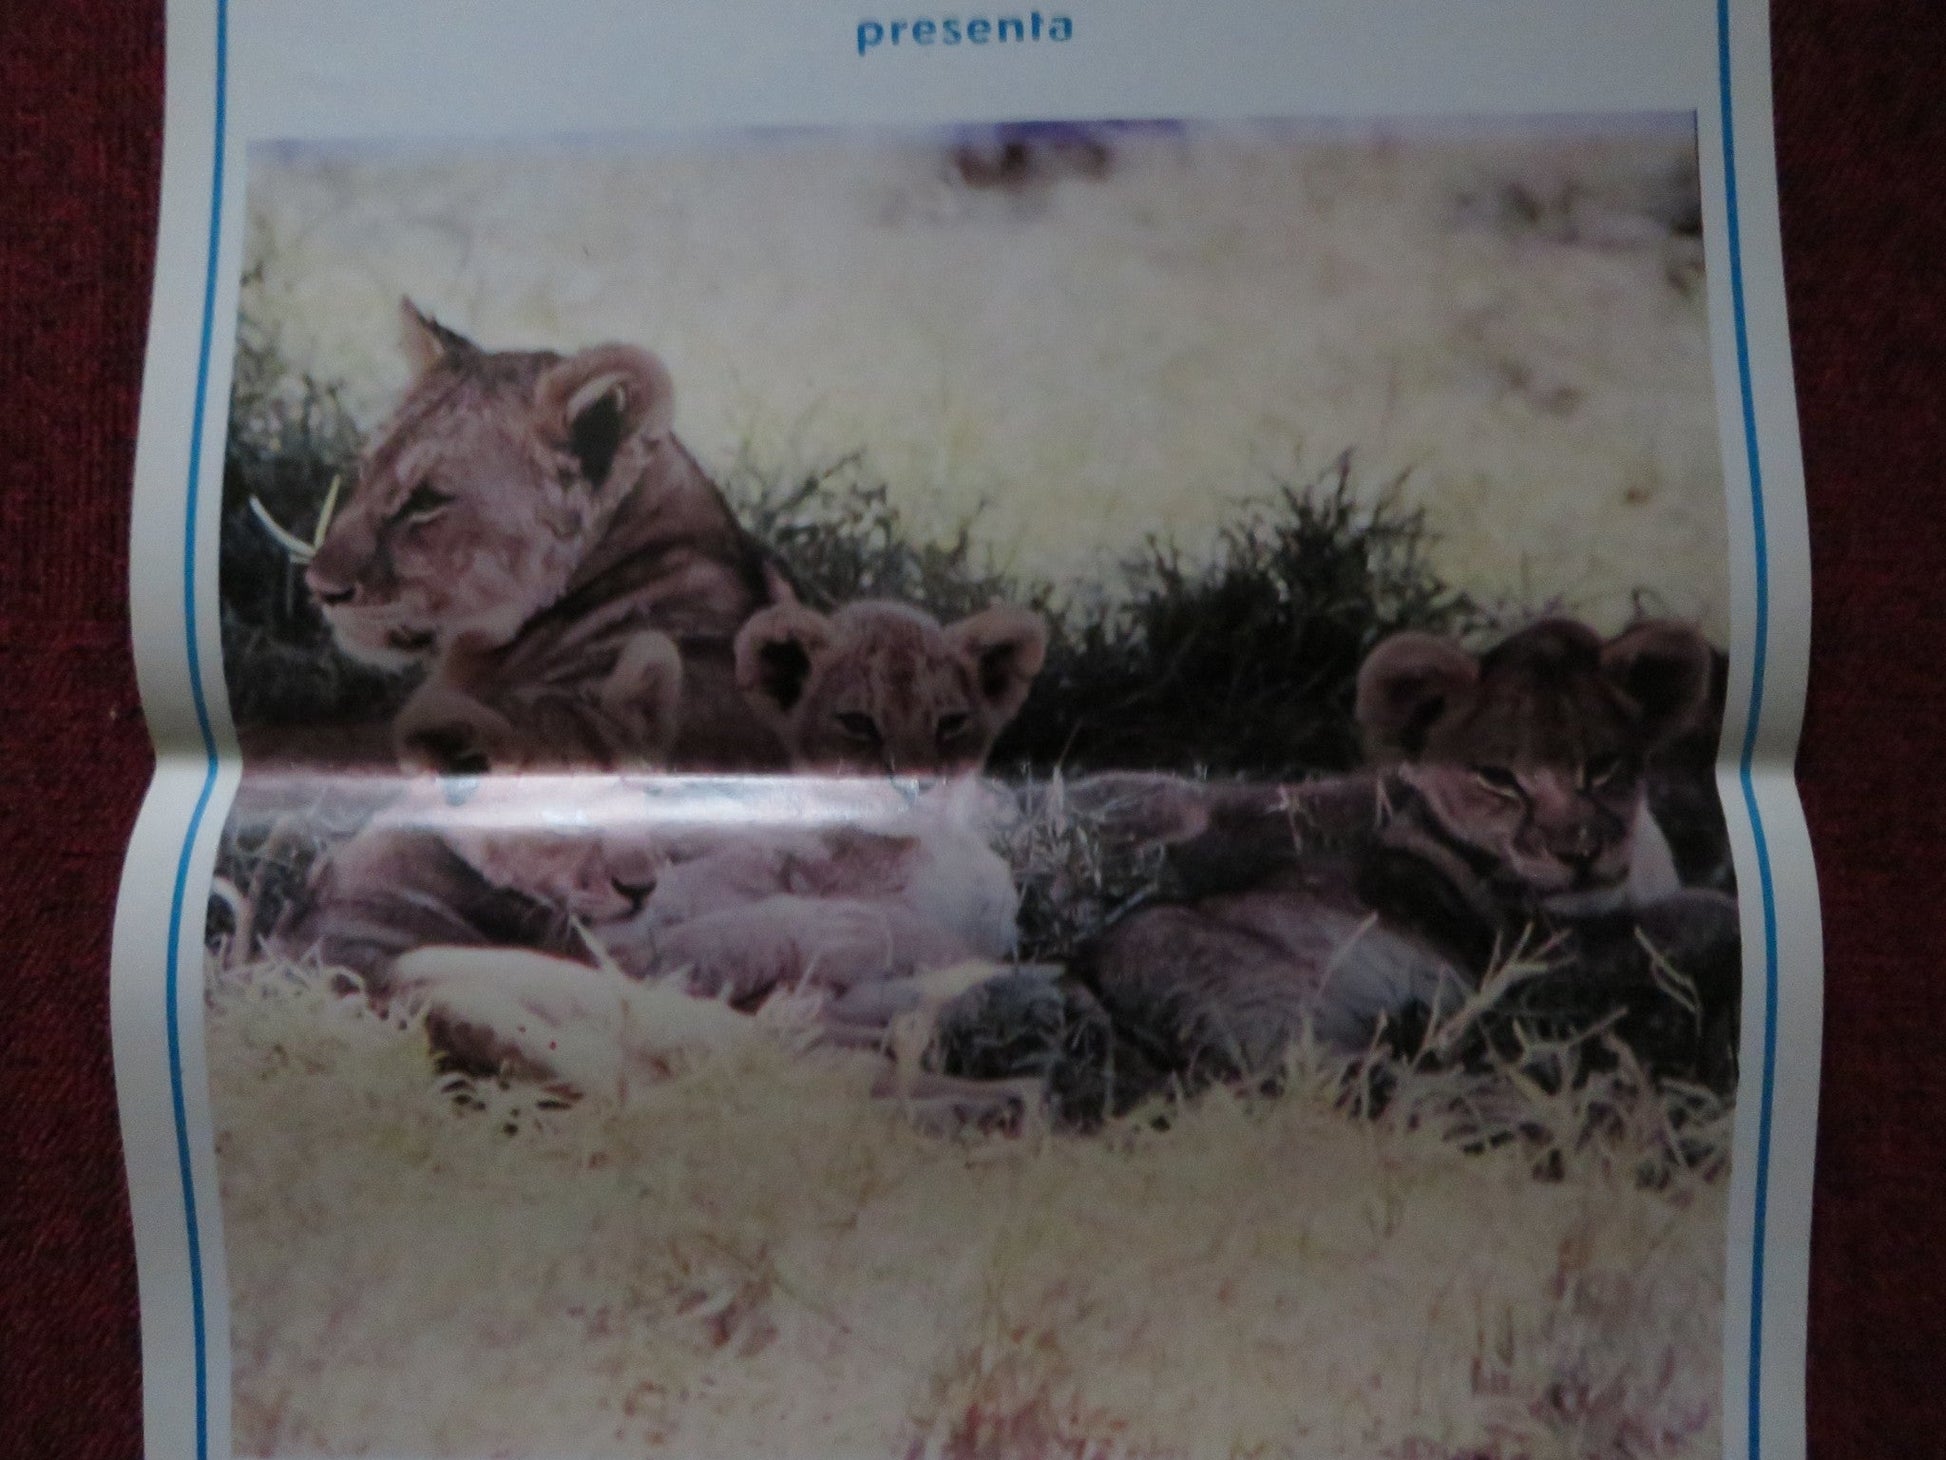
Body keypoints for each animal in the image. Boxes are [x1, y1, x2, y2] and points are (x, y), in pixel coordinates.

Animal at [1080, 618, 1742, 1096]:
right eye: (1497, 778)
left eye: (1603, 766)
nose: (1578, 852)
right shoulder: (1530, 956)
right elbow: (1696, 915)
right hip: (1251, 994)